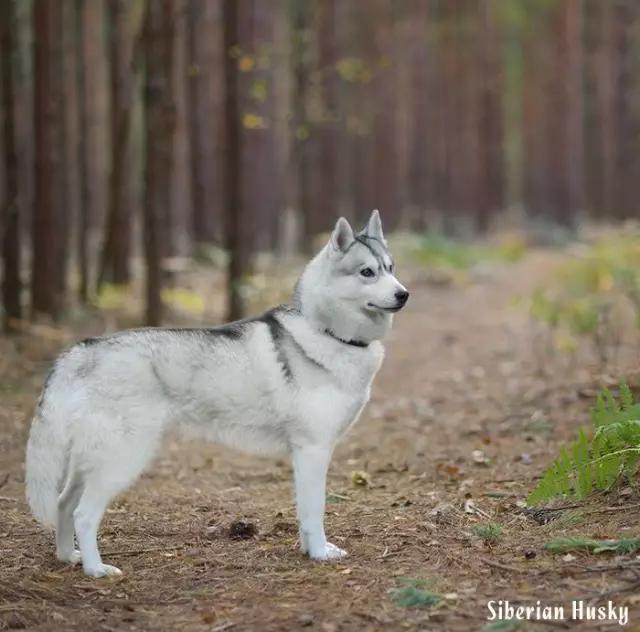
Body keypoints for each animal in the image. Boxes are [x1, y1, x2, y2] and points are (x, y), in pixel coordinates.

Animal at [26, 210, 410, 576]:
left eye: (390, 268)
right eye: (367, 272)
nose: (403, 294)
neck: (328, 332)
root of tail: (83, 348)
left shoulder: (305, 455)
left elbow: (304, 511)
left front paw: (308, 549)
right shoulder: (312, 449)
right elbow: (315, 511)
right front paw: (318, 553)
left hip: (89, 459)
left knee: (63, 503)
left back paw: (67, 557)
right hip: (121, 459)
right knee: (83, 514)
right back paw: (96, 570)